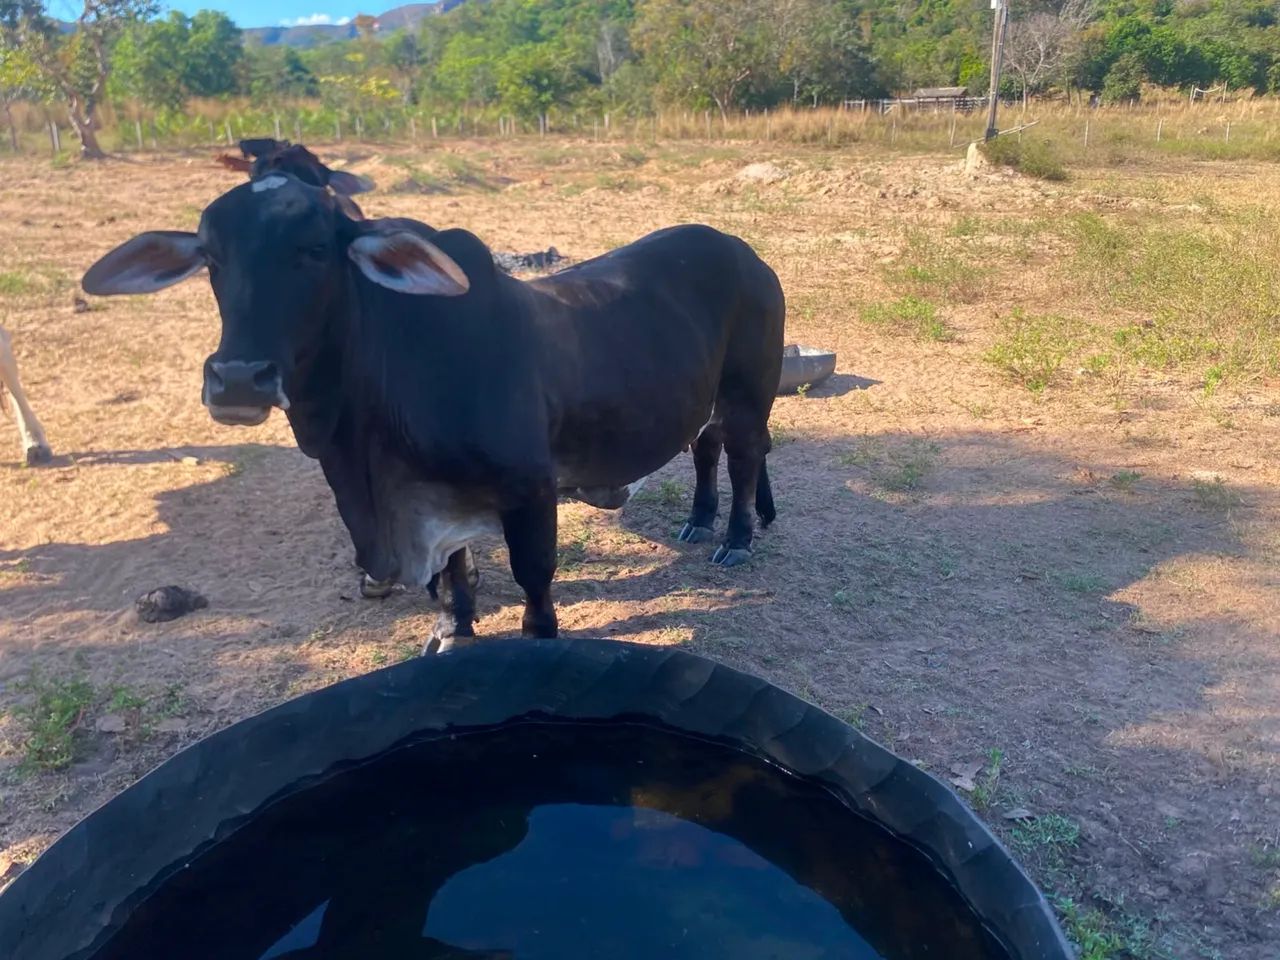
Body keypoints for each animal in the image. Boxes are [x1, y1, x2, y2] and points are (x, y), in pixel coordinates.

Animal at [81, 173, 784, 650]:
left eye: (314, 250)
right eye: (211, 258)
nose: (236, 380)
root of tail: (742, 250)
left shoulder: (530, 489)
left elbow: (533, 574)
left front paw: (537, 635)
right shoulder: (432, 496)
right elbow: (451, 573)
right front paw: (455, 629)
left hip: (749, 391)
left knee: (745, 456)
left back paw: (736, 538)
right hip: (710, 399)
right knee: (708, 446)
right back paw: (698, 520)